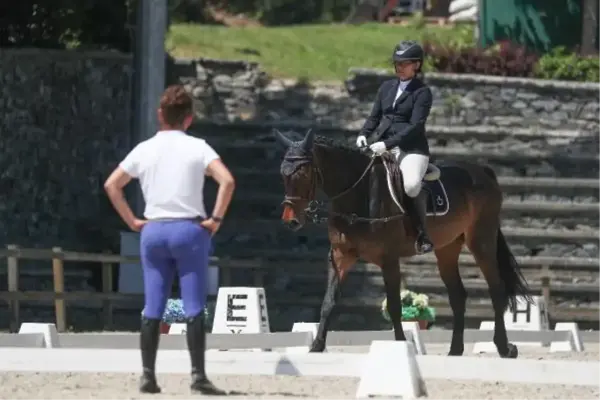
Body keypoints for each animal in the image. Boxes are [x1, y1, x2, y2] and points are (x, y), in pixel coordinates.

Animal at [272, 129, 528, 360]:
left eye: (304, 174)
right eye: (283, 175)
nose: (291, 221)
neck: (358, 193)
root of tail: (482, 171)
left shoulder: (389, 260)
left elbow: (395, 306)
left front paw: (400, 346)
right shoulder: (341, 255)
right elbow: (328, 301)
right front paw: (316, 347)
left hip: (481, 240)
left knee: (496, 289)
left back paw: (505, 348)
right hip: (447, 249)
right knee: (458, 296)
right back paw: (455, 350)